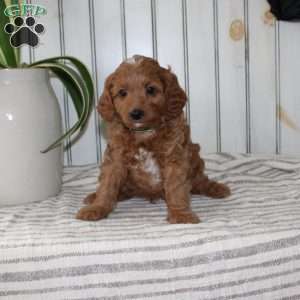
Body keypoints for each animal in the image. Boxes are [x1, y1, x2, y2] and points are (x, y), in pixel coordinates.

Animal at [76, 55, 231, 223]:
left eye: (150, 89)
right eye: (122, 93)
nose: (136, 113)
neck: (144, 133)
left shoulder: (175, 156)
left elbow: (176, 188)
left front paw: (181, 214)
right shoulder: (115, 157)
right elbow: (107, 185)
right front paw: (97, 207)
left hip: (195, 157)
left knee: (200, 181)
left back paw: (216, 188)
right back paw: (95, 197)